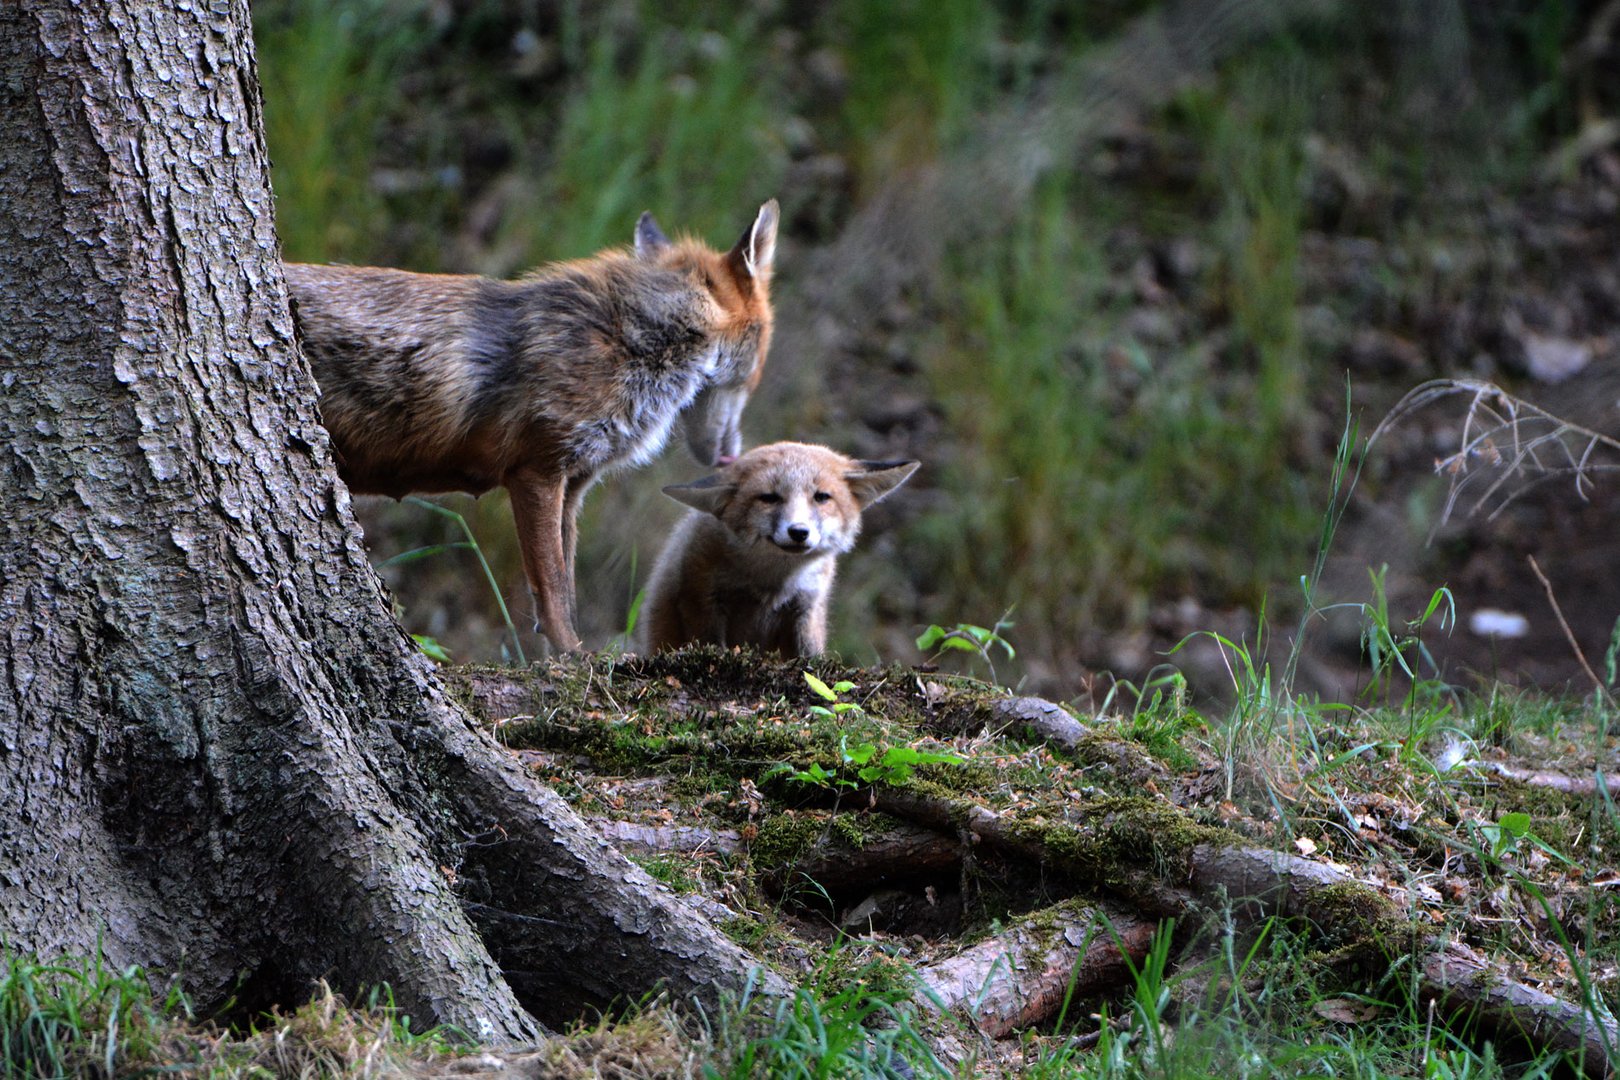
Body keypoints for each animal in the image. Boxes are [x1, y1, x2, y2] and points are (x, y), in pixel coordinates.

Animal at [288, 200, 780, 650]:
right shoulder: (537, 472)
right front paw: (575, 663)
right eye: (758, 367)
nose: (731, 454)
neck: (631, 342)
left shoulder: (573, 486)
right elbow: (554, 591)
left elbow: (565, 588)